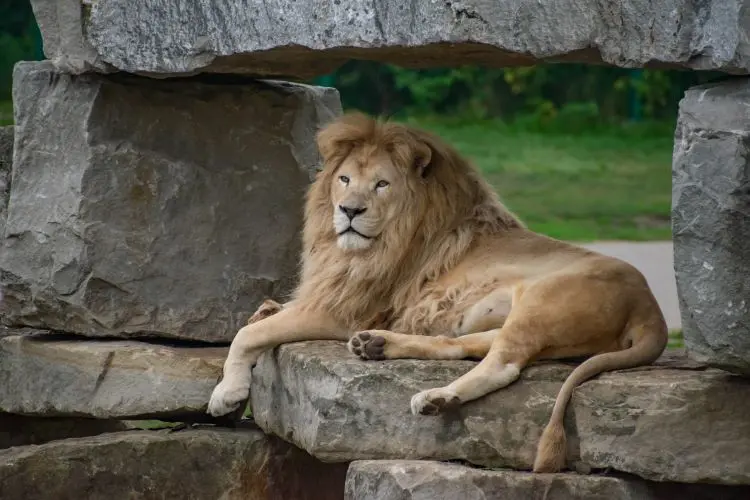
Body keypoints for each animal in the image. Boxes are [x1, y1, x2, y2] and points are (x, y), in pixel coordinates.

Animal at [207, 112, 668, 472]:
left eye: (381, 185)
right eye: (344, 179)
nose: (348, 210)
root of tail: (651, 310)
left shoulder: (344, 310)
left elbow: (245, 336)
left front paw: (227, 393)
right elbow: (263, 317)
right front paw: (265, 311)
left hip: (544, 300)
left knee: (503, 365)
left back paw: (436, 397)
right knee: (462, 345)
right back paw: (378, 347)